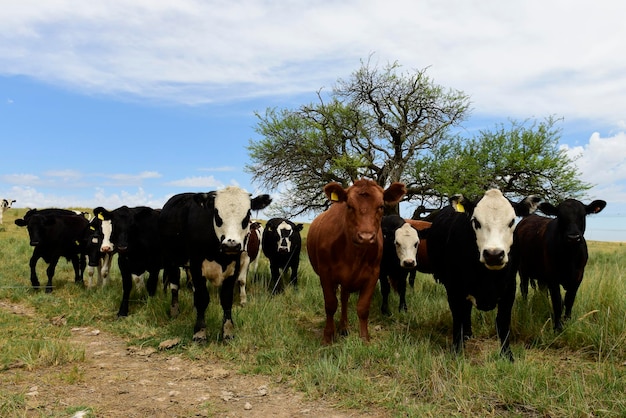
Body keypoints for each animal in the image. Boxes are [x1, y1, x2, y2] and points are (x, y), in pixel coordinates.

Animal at [157, 188, 270, 342]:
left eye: (247, 215)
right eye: (217, 215)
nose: (231, 244)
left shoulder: (234, 267)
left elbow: (227, 299)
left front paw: (228, 332)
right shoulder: (196, 266)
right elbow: (202, 298)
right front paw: (199, 333)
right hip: (171, 259)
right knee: (175, 286)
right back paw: (174, 311)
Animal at [306, 178, 404, 344]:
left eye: (381, 206)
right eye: (349, 206)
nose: (366, 237)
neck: (354, 255)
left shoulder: (373, 274)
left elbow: (363, 308)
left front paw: (364, 339)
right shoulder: (325, 273)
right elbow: (330, 305)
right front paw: (328, 337)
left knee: (344, 298)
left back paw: (344, 327)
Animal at [426, 189, 540, 360]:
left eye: (512, 221)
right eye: (476, 222)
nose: (493, 254)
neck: (487, 277)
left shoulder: (509, 289)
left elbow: (503, 322)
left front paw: (507, 355)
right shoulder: (454, 288)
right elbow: (458, 318)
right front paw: (456, 351)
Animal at [512, 198, 604, 332]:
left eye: (583, 215)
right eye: (560, 216)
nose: (573, 237)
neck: (570, 257)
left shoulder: (578, 278)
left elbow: (569, 301)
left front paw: (568, 321)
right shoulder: (552, 278)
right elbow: (557, 302)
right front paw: (557, 327)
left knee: (542, 291)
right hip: (522, 269)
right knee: (524, 289)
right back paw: (525, 307)